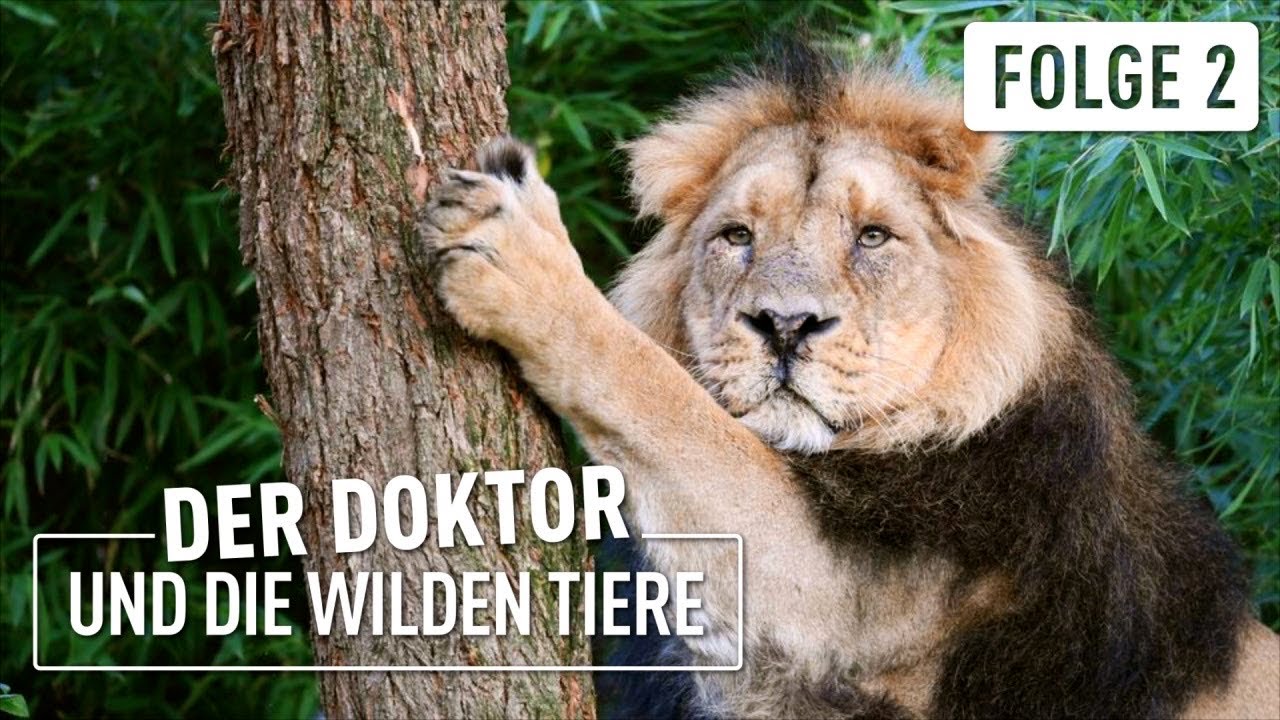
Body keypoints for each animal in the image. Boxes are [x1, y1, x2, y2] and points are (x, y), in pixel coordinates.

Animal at [420, 46, 1280, 719]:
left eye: (872, 237)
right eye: (737, 236)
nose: (785, 324)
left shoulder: (852, 606)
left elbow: (662, 396)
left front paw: (523, 258)